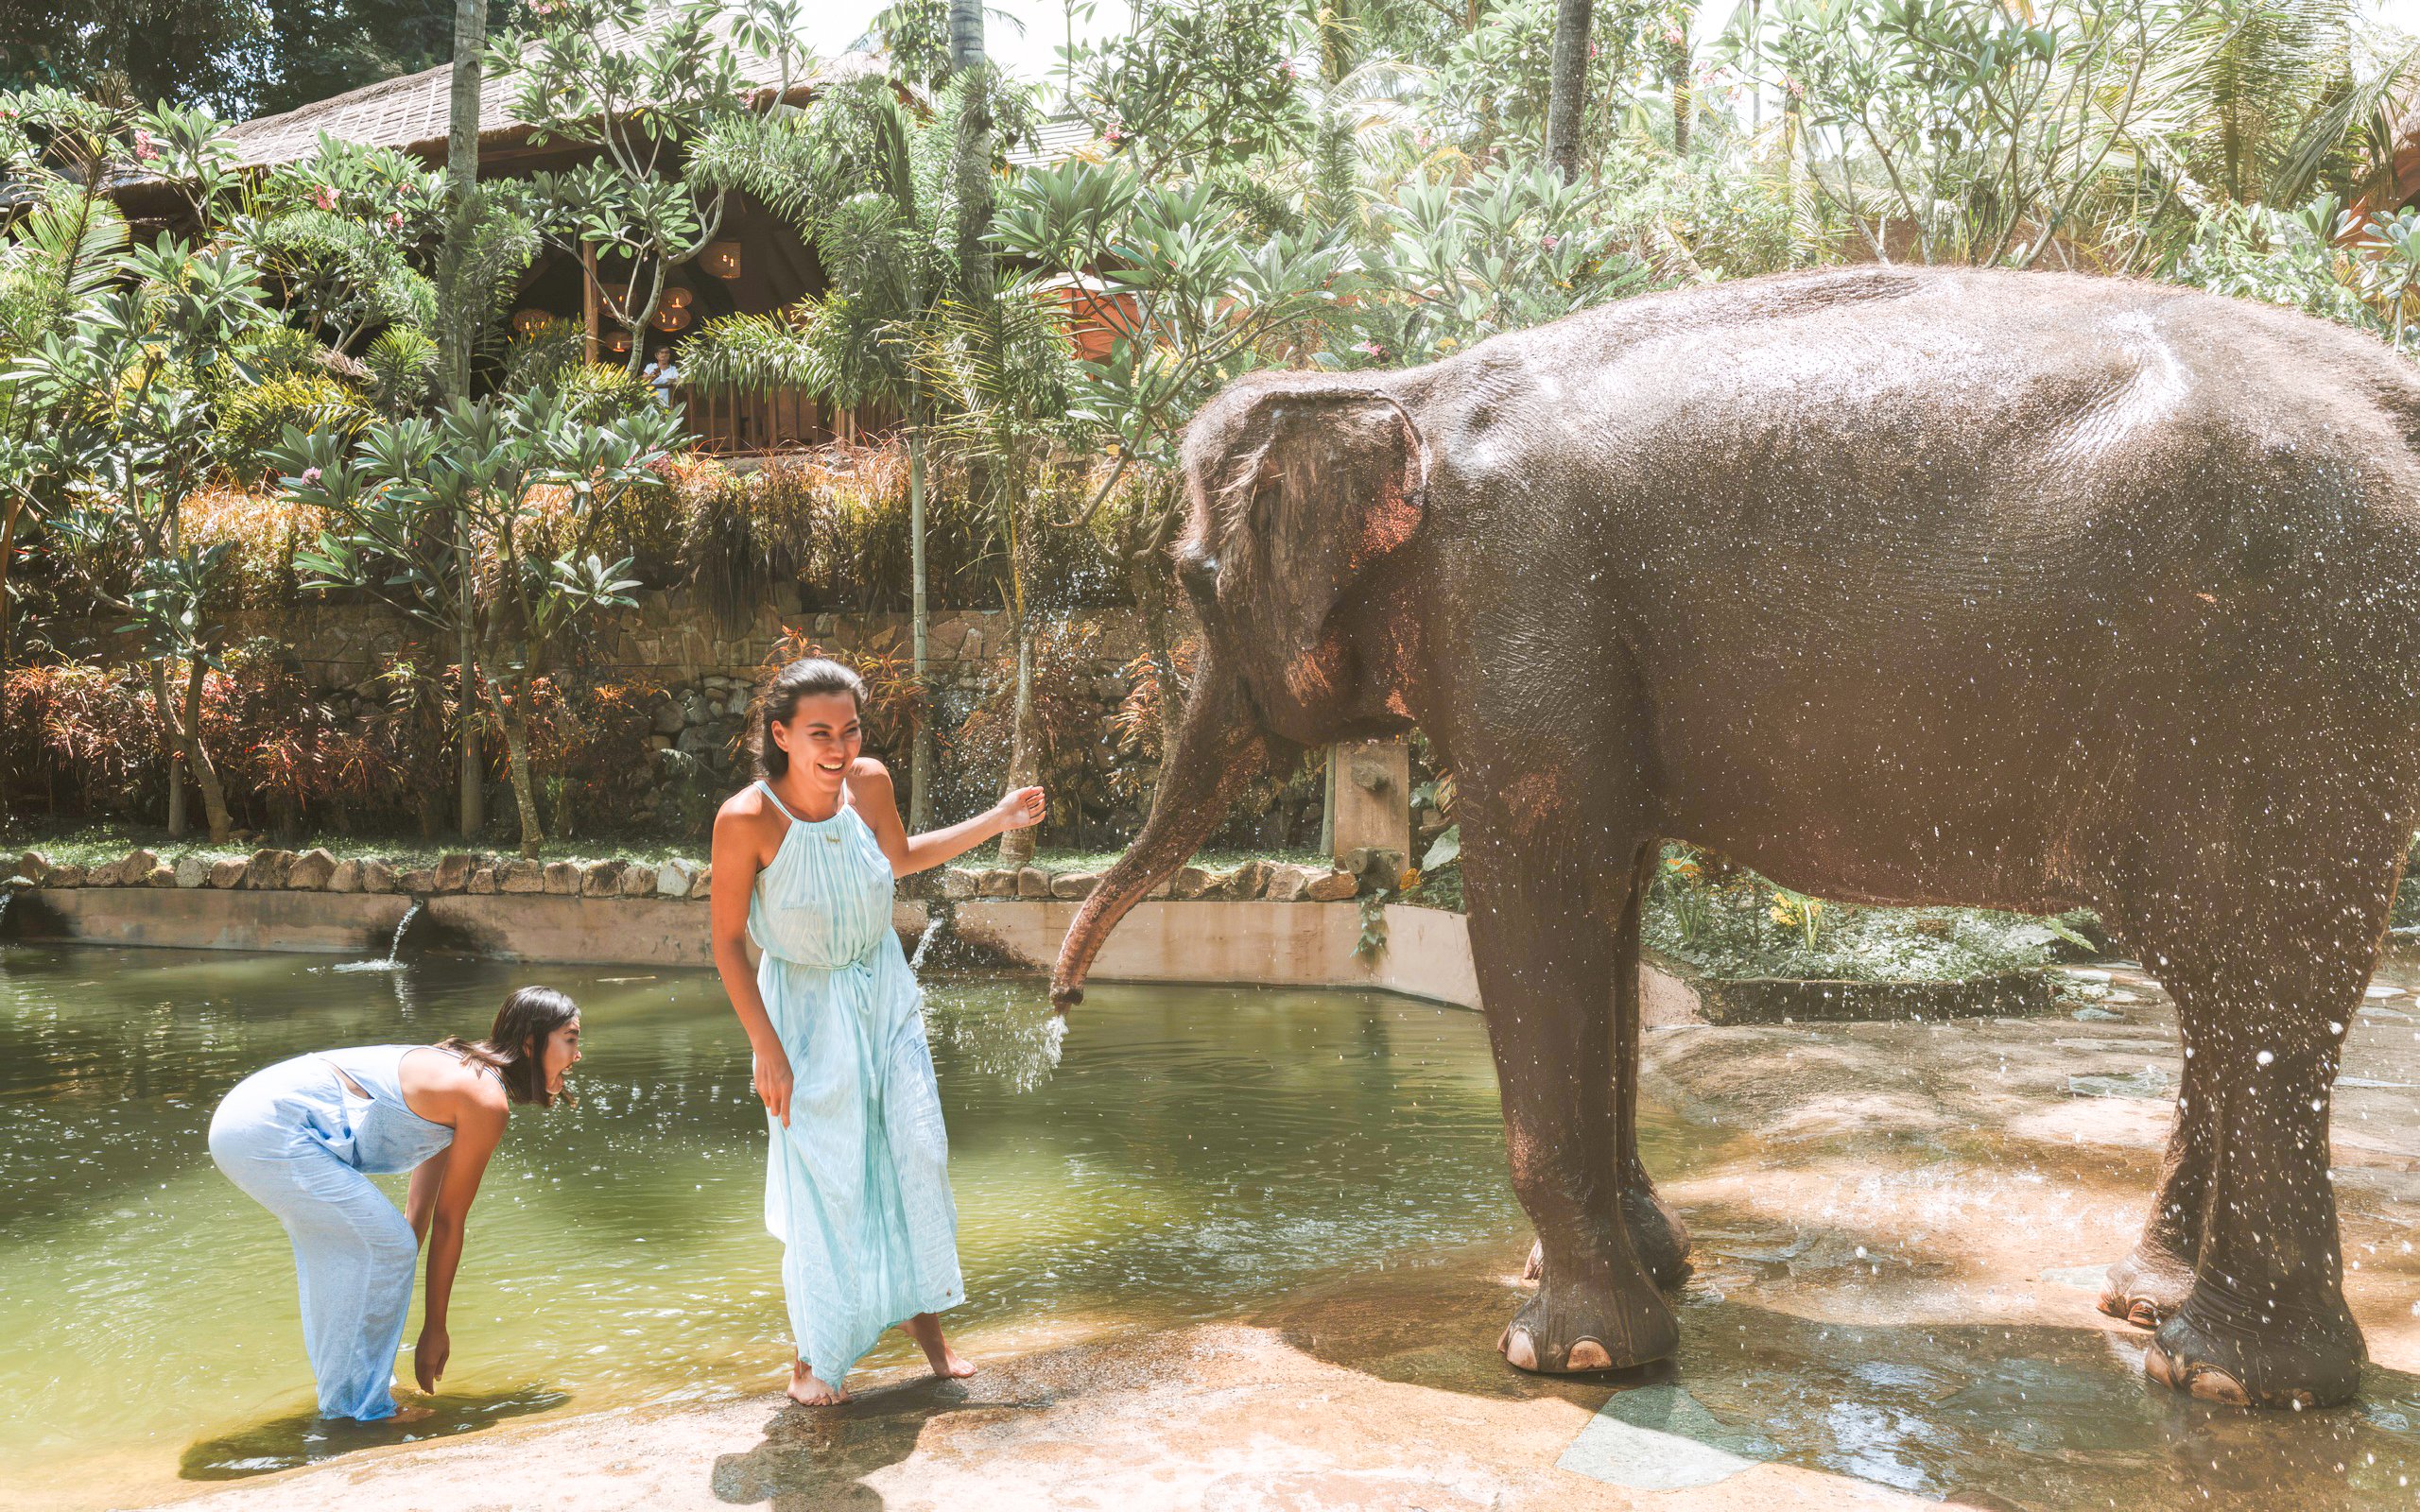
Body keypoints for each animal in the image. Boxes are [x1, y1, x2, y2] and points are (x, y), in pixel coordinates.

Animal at [1050, 263, 2420, 1410]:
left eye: (1192, 580)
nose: (1060, 1007)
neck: (1408, 384)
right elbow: (1609, 897)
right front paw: (1652, 1269)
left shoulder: (1522, 603)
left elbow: (1535, 889)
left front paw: (1570, 1354)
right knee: (2223, 987)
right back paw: (2153, 1311)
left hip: (2293, 675)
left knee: (2260, 982)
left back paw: (2231, 1379)